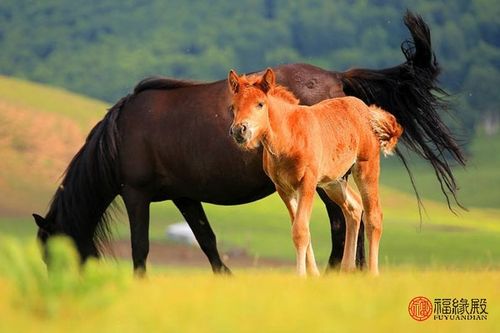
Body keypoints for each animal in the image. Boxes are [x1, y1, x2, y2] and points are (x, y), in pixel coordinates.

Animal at [229, 68, 404, 274]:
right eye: (233, 107)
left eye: (260, 104)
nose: (240, 130)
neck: (289, 138)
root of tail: (367, 111)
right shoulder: (284, 189)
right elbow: (301, 229)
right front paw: (313, 275)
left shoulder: (307, 183)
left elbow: (300, 231)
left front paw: (302, 276)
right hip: (334, 182)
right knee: (354, 207)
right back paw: (346, 270)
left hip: (365, 168)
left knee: (374, 216)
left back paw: (373, 273)